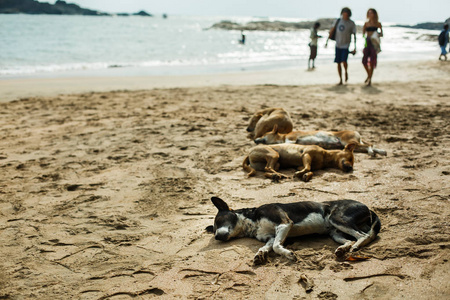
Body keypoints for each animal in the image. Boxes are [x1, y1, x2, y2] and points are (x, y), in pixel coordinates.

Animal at [207, 197, 380, 264]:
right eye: (213, 229)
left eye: (219, 221)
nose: (216, 237)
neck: (252, 221)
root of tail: (367, 207)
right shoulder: (270, 237)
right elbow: (267, 246)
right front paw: (260, 254)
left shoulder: (284, 224)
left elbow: (277, 246)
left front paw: (289, 254)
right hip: (335, 232)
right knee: (351, 239)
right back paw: (342, 249)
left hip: (336, 218)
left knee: (364, 236)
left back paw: (356, 246)